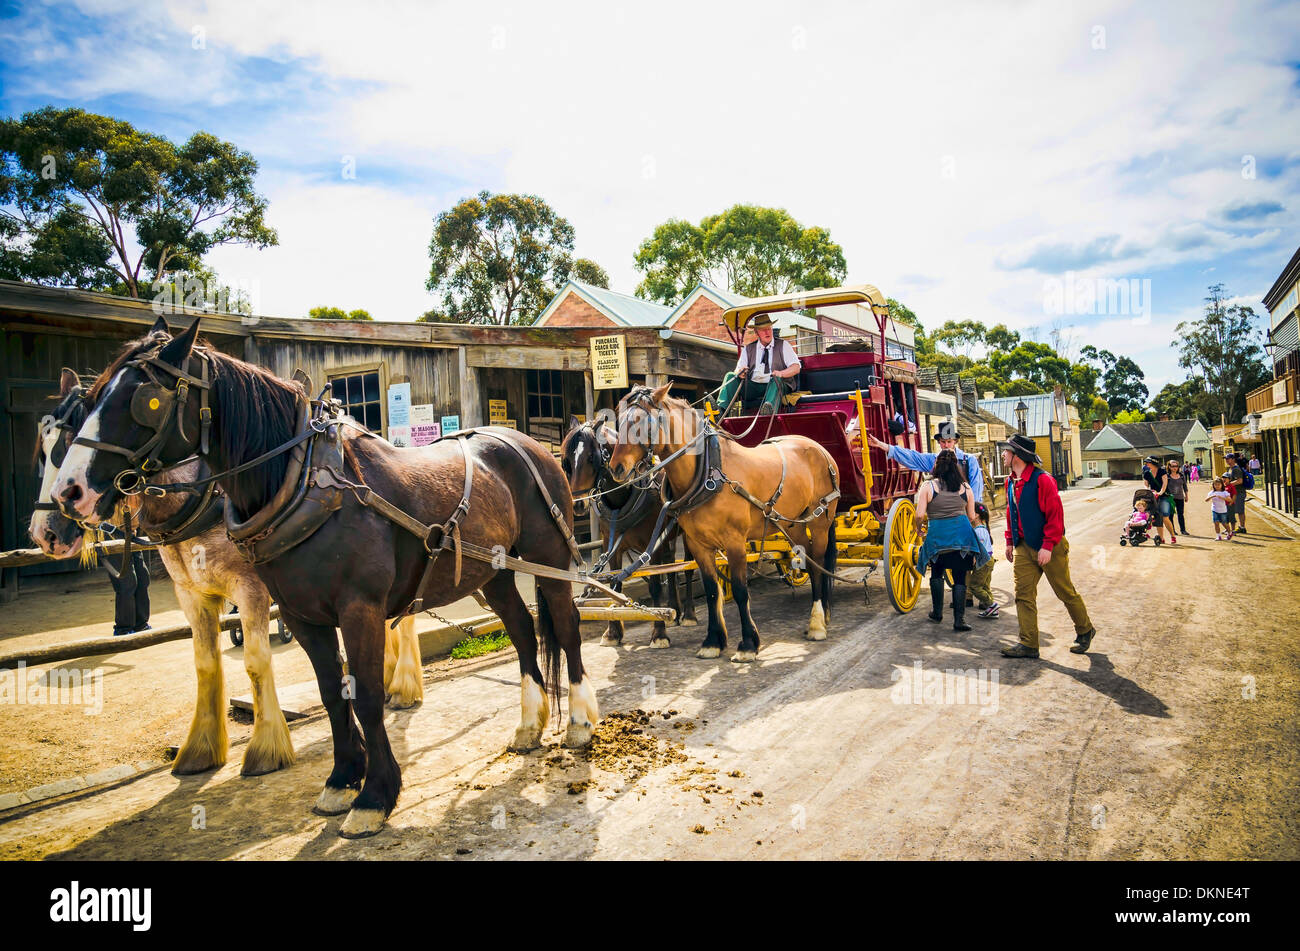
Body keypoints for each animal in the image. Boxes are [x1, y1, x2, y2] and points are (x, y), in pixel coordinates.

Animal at [55, 320, 595, 841]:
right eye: (92, 398)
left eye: (145, 398)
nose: (69, 491)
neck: (307, 484)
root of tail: (525, 443)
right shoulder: (301, 615)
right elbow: (334, 693)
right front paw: (341, 781)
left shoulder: (360, 609)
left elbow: (369, 696)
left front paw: (374, 796)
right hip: (493, 572)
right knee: (523, 629)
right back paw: (529, 726)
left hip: (549, 557)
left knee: (566, 624)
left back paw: (581, 722)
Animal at [561, 415, 696, 646]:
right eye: (566, 461)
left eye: (591, 457)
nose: (578, 504)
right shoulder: (611, 544)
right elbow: (615, 586)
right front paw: (613, 632)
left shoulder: (651, 545)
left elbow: (655, 585)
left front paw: (659, 633)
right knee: (671, 564)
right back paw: (674, 610)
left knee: (688, 566)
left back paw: (688, 614)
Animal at [608, 381, 842, 665]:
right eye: (619, 420)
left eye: (643, 423)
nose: (616, 468)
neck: (709, 472)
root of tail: (818, 448)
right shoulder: (698, 545)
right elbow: (711, 591)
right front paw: (713, 642)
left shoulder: (734, 542)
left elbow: (741, 591)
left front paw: (748, 644)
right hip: (793, 523)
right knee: (805, 556)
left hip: (819, 522)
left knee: (818, 564)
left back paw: (818, 623)